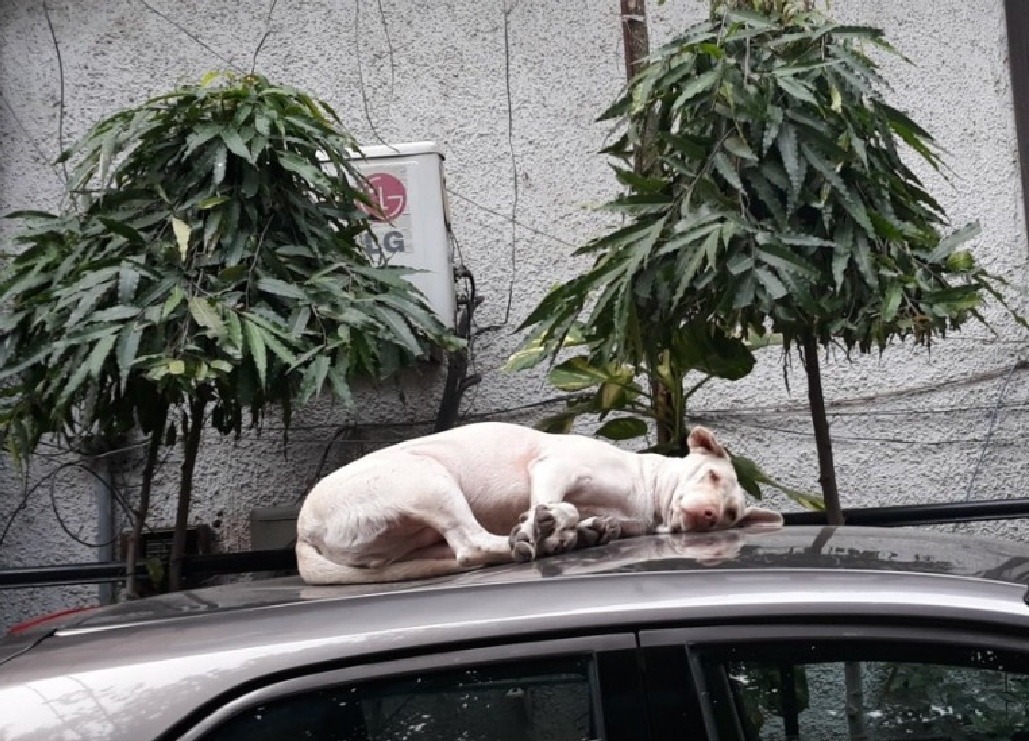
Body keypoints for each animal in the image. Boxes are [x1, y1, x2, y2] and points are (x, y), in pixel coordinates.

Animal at [296, 421, 783, 585]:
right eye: (712, 475)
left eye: (732, 515)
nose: (709, 516)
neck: (646, 499)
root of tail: (303, 531)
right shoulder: (555, 467)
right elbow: (554, 501)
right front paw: (555, 521)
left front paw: (578, 528)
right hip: (427, 478)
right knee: (472, 544)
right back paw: (549, 535)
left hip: (416, 535)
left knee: (467, 551)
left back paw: (564, 537)